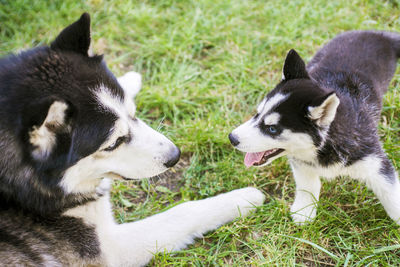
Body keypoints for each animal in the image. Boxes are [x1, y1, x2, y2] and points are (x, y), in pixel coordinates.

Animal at [0, 13, 266, 266]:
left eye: (134, 112)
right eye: (113, 143)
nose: (175, 156)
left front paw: (128, 79)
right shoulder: (112, 249)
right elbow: (182, 212)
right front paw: (243, 198)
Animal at [228, 30, 400, 225]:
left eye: (272, 128)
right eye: (257, 114)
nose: (232, 138)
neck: (325, 144)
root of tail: (376, 33)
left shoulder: (374, 161)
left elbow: (390, 193)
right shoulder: (301, 162)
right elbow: (307, 184)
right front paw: (305, 210)